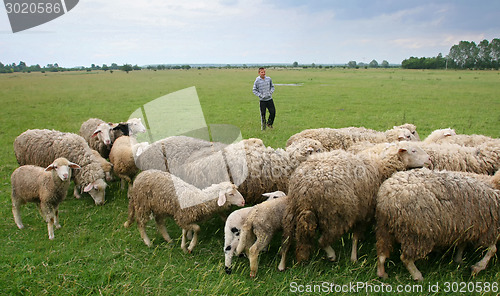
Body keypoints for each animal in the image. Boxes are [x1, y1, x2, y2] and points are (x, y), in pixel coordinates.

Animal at [280, 142, 432, 270]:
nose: (429, 159)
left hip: (292, 211)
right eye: (413, 150)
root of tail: (304, 187)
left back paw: (282, 264)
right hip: (337, 214)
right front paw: (354, 257)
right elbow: (355, 236)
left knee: (287, 241)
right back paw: (331, 254)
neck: (381, 166)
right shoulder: (363, 211)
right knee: (322, 241)